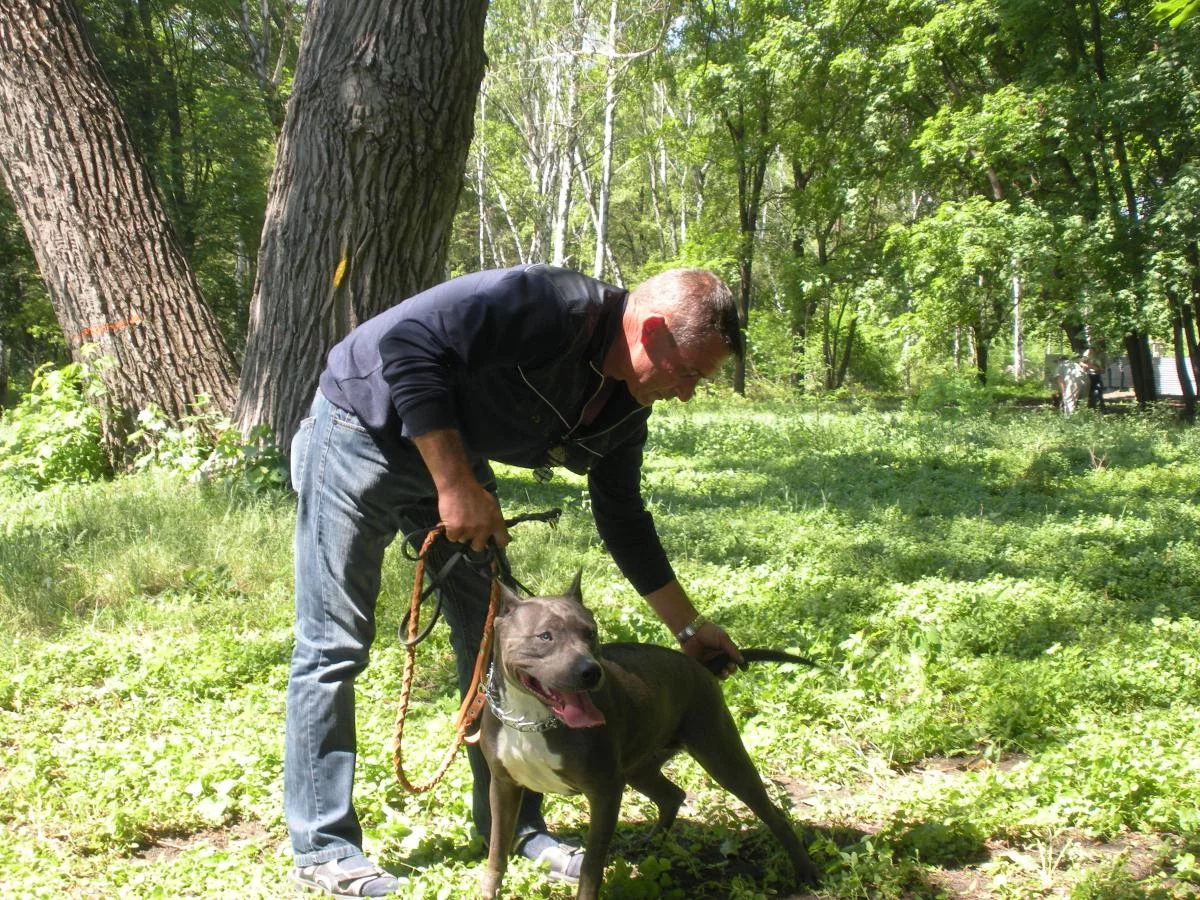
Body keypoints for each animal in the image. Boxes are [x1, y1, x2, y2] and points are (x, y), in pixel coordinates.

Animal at [478, 572, 820, 900]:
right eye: (545, 636)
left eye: (591, 633)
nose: (591, 672)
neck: (530, 718)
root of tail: (699, 664)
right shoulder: (503, 786)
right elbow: (497, 850)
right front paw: (490, 890)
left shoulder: (605, 791)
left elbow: (591, 868)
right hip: (640, 769)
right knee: (672, 795)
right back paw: (653, 842)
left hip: (722, 755)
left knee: (773, 814)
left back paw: (807, 874)